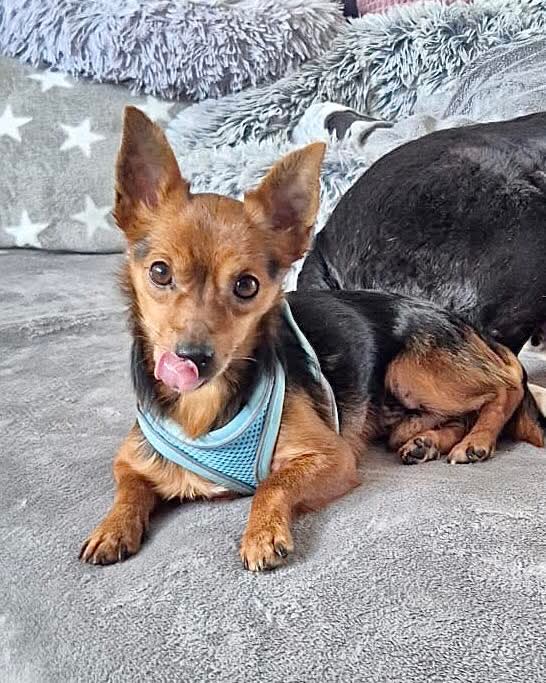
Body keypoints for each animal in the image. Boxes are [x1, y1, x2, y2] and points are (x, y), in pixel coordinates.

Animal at [80, 108, 541, 572]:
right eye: (159, 272)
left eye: (247, 285)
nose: (192, 358)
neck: (205, 407)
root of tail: (468, 328)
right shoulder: (133, 459)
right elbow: (128, 487)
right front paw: (111, 528)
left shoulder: (331, 457)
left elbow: (273, 483)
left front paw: (262, 533)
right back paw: (424, 440)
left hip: (412, 368)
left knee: (506, 387)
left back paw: (477, 441)